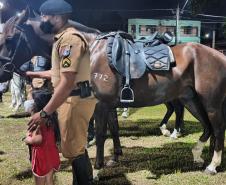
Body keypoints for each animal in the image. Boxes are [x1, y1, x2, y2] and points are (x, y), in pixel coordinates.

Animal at [0, 9, 226, 175]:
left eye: (9, 38)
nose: (2, 73)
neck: (90, 52)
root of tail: (218, 55)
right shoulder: (109, 105)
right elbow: (114, 129)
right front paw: (115, 158)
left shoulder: (100, 104)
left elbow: (101, 134)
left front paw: (97, 169)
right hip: (191, 100)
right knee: (207, 127)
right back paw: (197, 155)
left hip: (211, 103)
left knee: (217, 128)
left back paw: (212, 165)